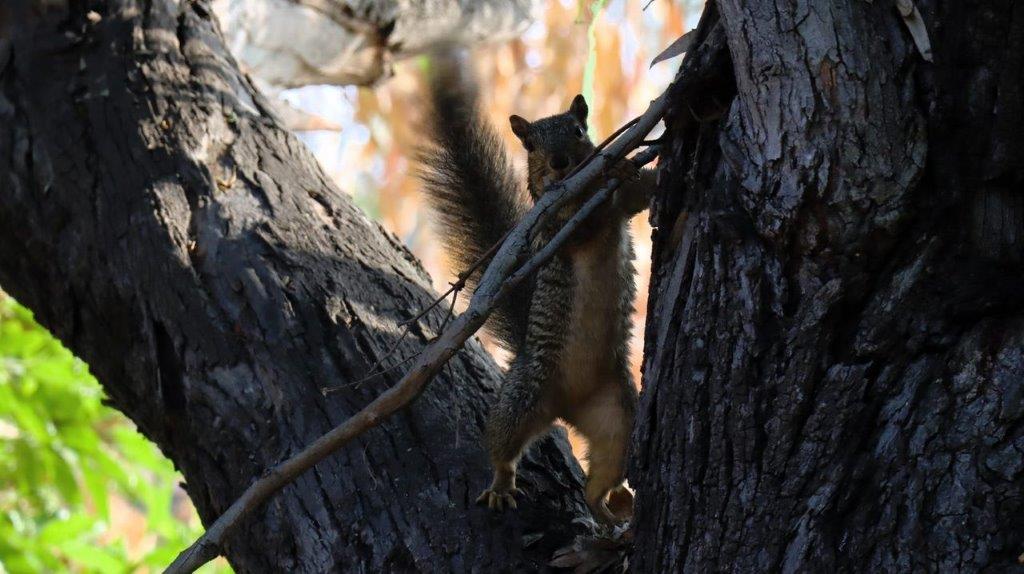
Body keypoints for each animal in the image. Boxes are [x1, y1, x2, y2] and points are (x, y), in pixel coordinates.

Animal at [417, 54, 651, 523]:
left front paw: (627, 164)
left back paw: (609, 510)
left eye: (578, 130)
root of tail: (566, 409)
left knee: (599, 478)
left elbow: (634, 200)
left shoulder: (619, 210)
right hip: (523, 396)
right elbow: (574, 220)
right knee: (501, 444)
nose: (560, 162)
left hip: (617, 414)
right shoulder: (553, 224)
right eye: (530, 146)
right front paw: (610, 169)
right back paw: (501, 485)